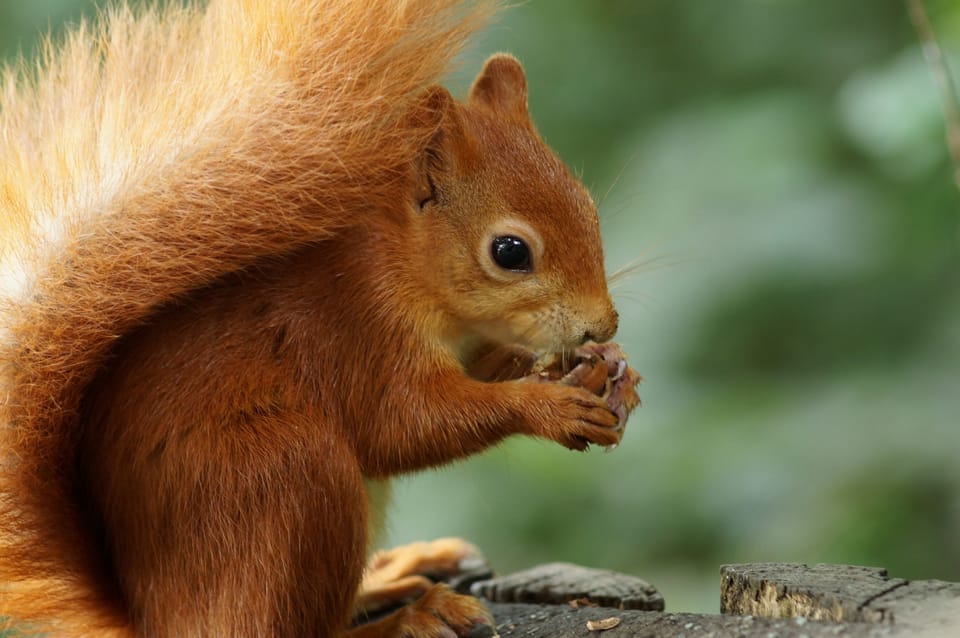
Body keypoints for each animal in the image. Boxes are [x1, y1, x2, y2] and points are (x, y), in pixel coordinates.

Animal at [0, 0, 641, 636]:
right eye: (510, 252)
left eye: (587, 207)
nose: (603, 327)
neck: (402, 263)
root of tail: (150, 616)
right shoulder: (356, 328)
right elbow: (403, 425)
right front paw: (548, 406)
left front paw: (603, 371)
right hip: (288, 476)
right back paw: (408, 617)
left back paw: (394, 576)